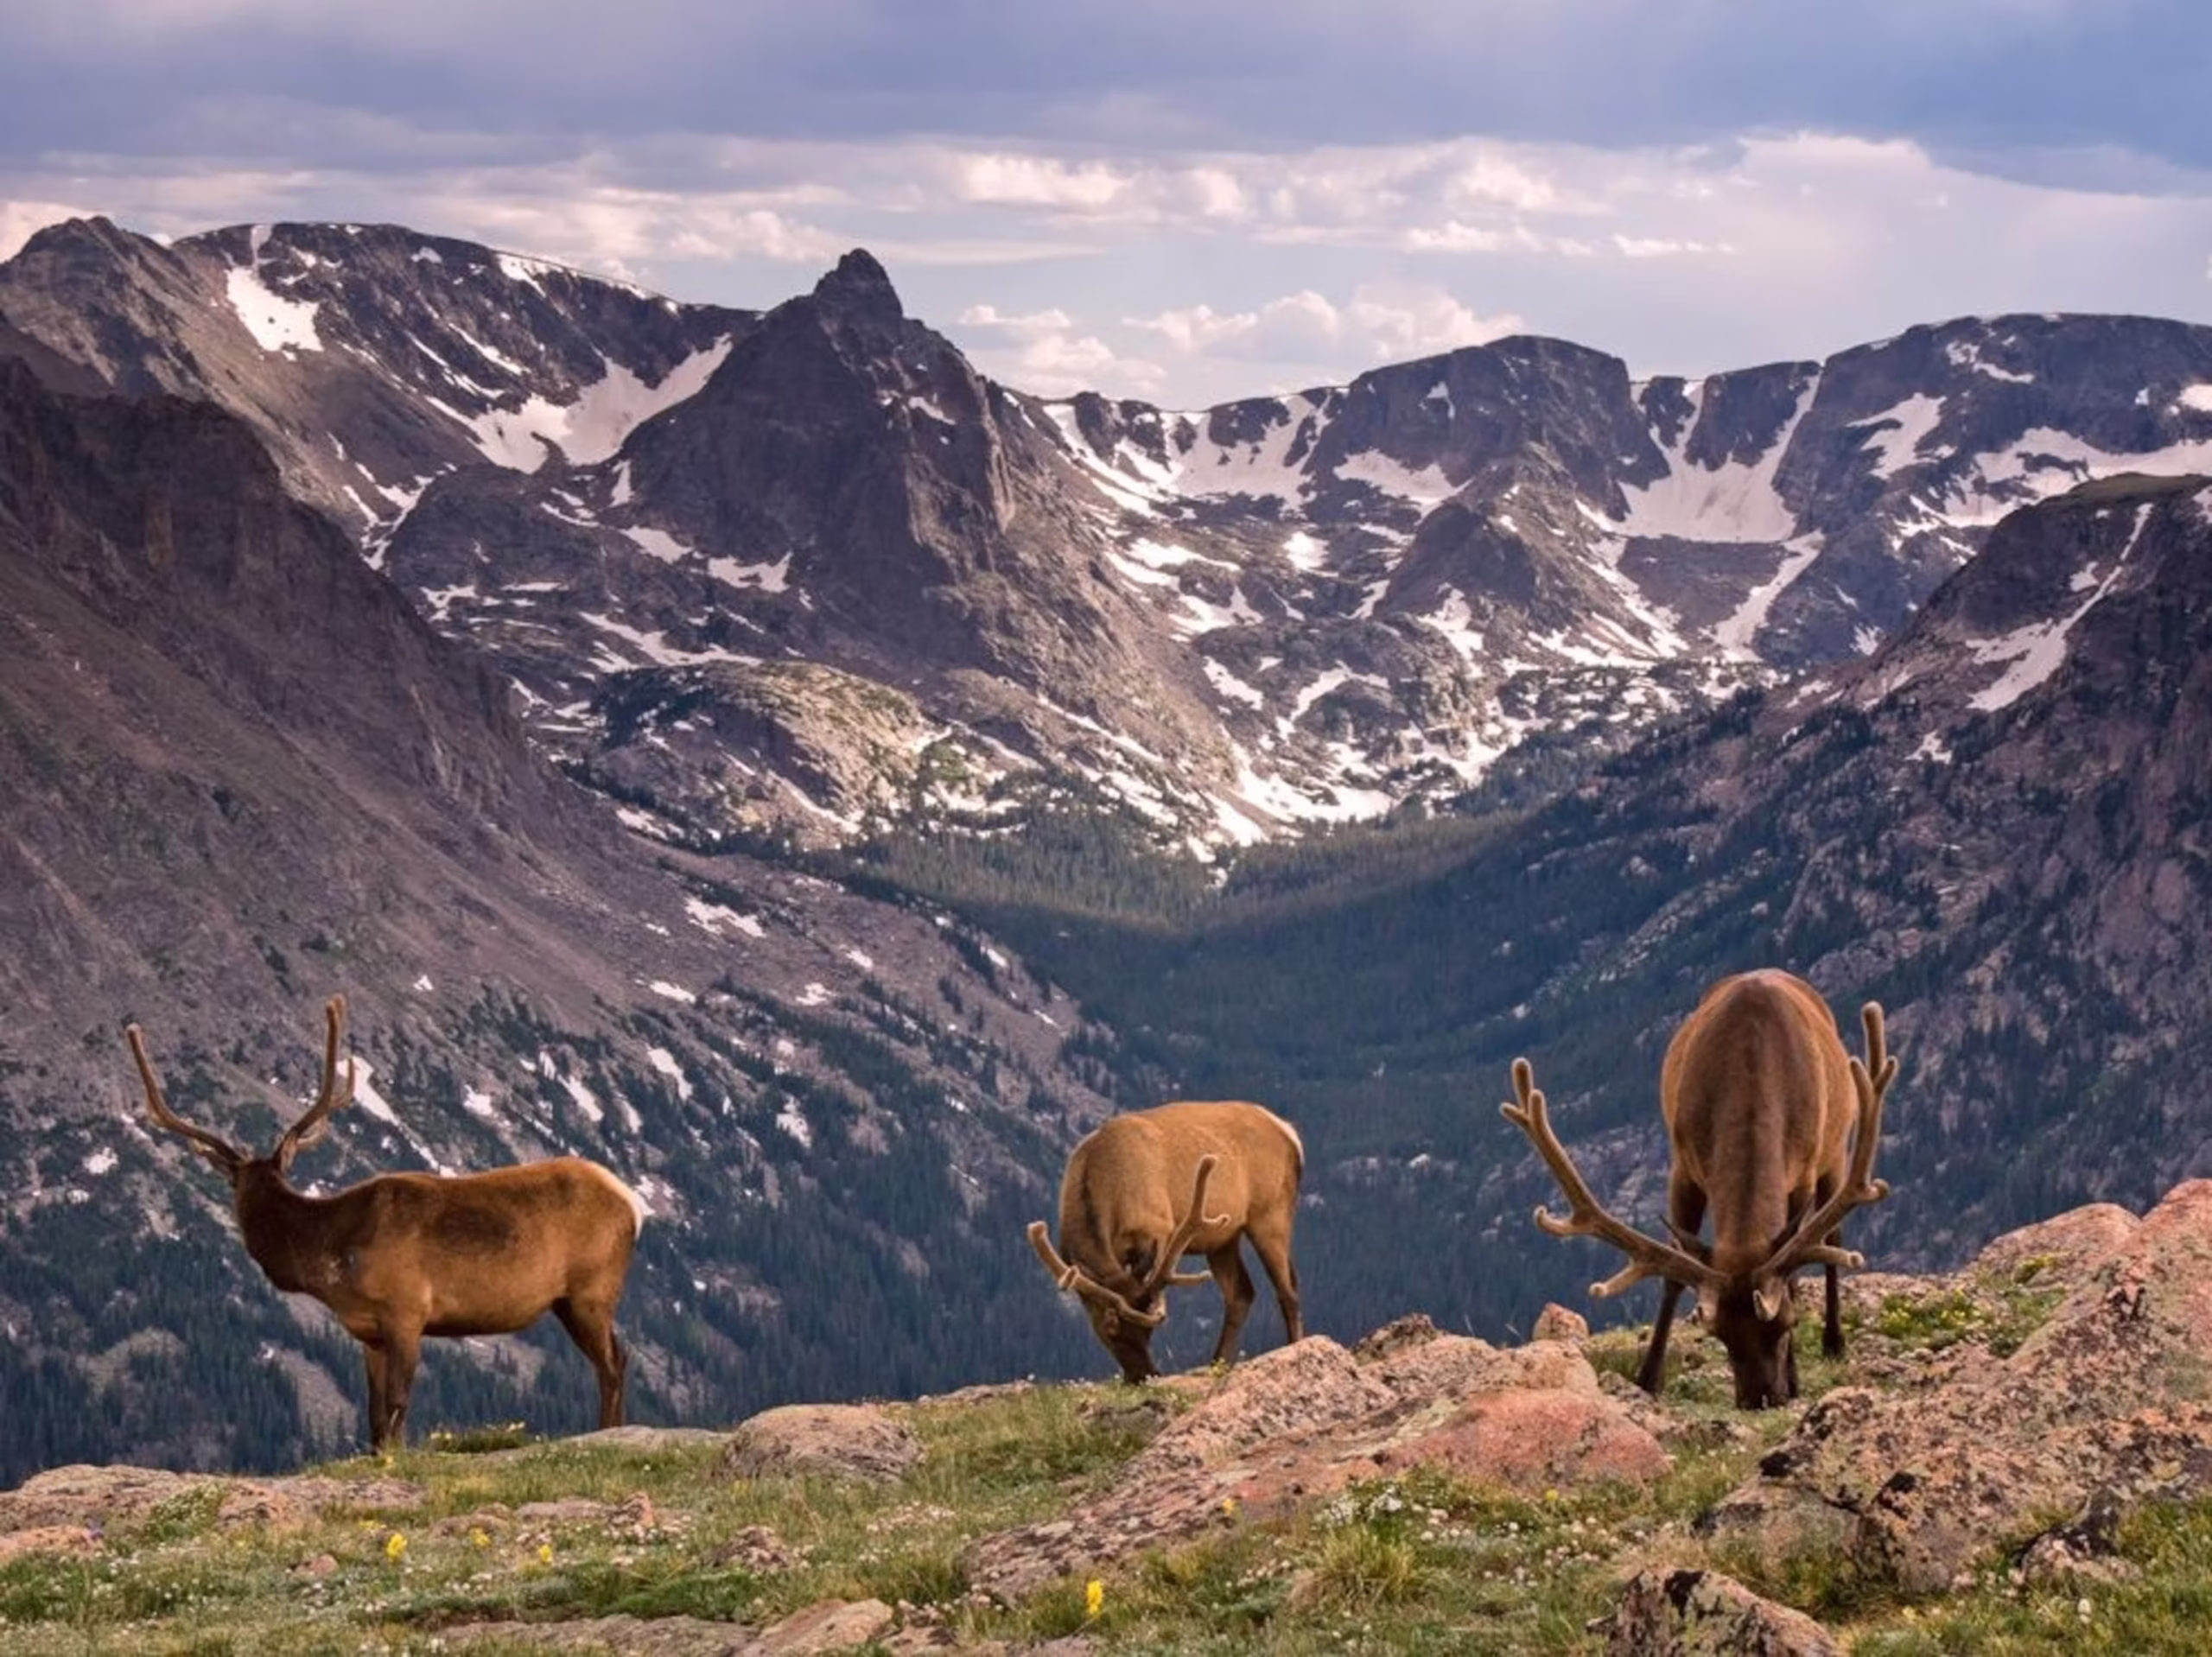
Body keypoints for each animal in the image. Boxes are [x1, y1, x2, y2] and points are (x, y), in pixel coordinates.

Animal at [127, 995, 647, 1450]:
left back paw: (610, 1434)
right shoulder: (368, 1332)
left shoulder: (407, 1310)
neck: (332, 1255)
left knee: (614, 1361)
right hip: (567, 1300)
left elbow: (398, 1405)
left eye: (238, 1186)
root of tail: (631, 1203)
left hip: (592, 1289)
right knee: (615, 1359)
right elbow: (375, 1417)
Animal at [1027, 1100, 1304, 1383]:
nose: (1146, 1374)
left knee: (1288, 1291)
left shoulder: (1159, 1228)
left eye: (1147, 1332)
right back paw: (1217, 1364)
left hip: (1271, 1213)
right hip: (1222, 1237)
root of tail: (1288, 1132)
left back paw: (1294, 1347)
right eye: (1109, 1330)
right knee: (1241, 1292)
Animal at [1501, 969, 1896, 1409]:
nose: (1761, 1398)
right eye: (1720, 1335)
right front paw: (1647, 1377)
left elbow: (1793, 1275)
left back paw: (1834, 1341)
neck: (1752, 1075)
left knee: (1833, 1238)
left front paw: (1795, 1378)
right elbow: (1673, 1273)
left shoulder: (1804, 1171)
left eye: (1787, 1324)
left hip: (1838, 1149)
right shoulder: (1684, 1164)